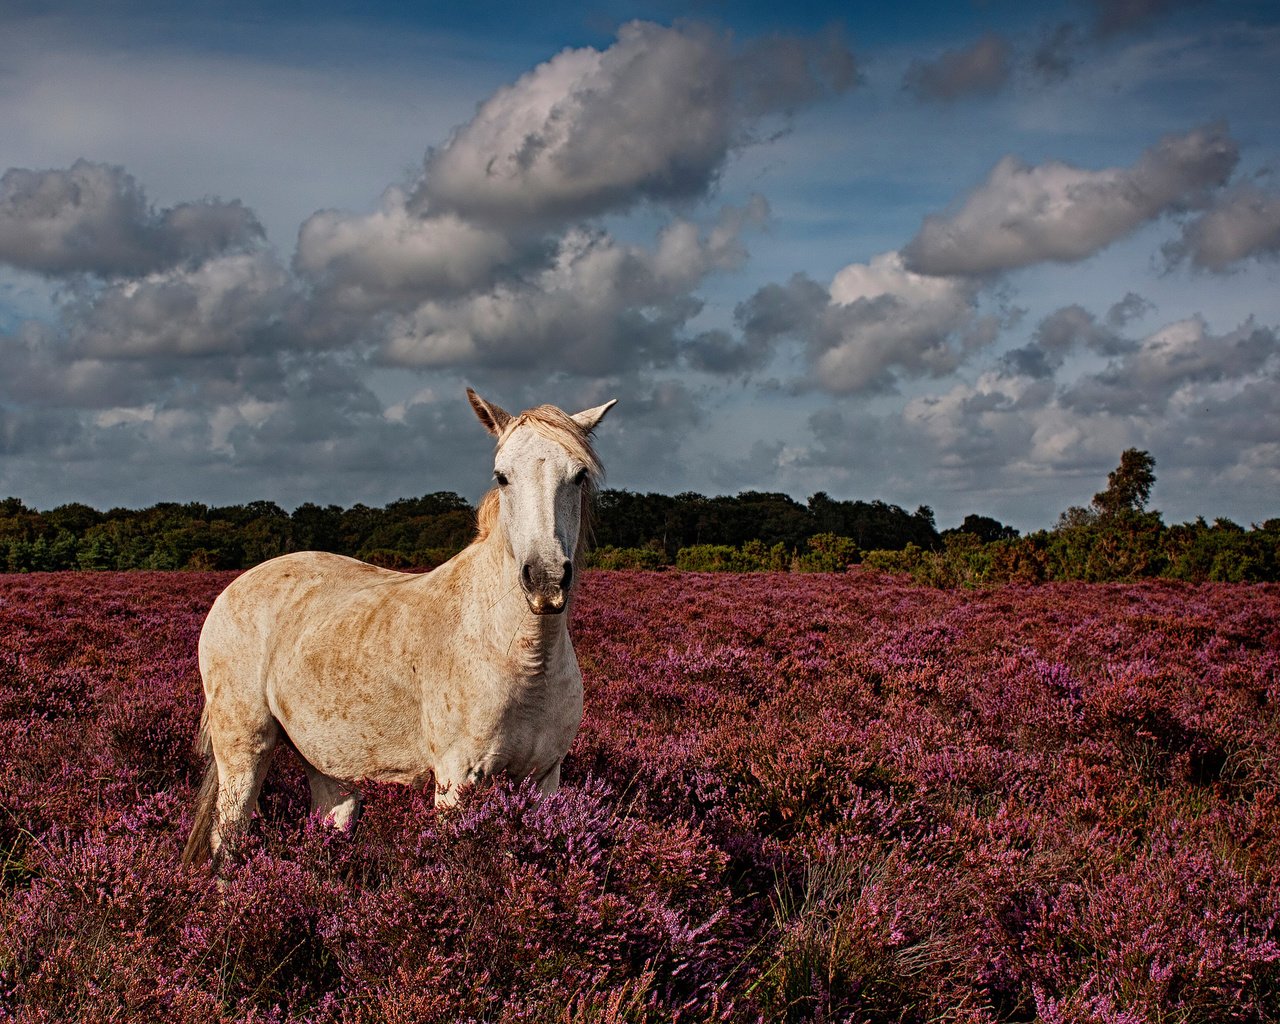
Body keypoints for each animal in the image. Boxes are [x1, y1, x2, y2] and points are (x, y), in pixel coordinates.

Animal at [183, 389, 616, 865]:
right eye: (502, 477)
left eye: (578, 475)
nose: (545, 579)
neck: (525, 658)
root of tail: (232, 589)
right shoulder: (457, 779)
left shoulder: (543, 779)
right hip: (243, 746)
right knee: (228, 837)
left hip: (328, 762)